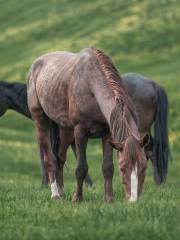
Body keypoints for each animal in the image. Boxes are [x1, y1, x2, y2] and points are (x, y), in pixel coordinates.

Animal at [26, 47, 148, 202]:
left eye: (144, 166)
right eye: (122, 167)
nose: (134, 198)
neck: (90, 83)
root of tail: (35, 64)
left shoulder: (107, 133)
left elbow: (107, 167)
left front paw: (108, 199)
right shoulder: (80, 131)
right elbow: (81, 168)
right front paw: (77, 198)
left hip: (66, 129)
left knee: (60, 158)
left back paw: (62, 191)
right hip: (41, 120)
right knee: (50, 159)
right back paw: (55, 194)